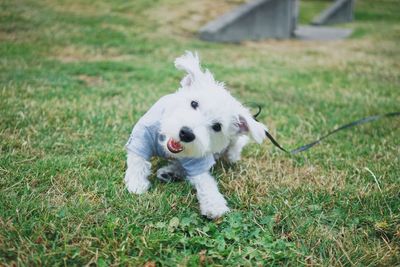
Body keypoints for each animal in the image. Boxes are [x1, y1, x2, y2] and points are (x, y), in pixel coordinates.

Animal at [125, 51, 268, 219]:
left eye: (217, 126)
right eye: (194, 103)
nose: (186, 134)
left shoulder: (198, 159)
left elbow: (205, 181)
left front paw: (214, 204)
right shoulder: (141, 137)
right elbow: (138, 161)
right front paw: (136, 183)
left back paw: (170, 172)